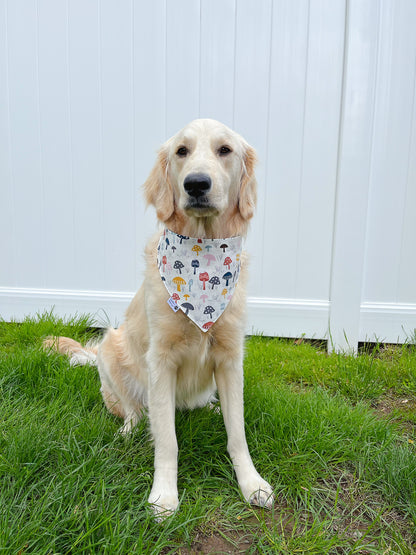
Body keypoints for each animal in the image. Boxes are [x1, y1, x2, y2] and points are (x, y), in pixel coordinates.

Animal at [46, 119, 272, 520]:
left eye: (224, 150)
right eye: (182, 151)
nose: (196, 184)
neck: (203, 249)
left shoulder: (231, 359)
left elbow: (238, 434)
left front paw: (251, 483)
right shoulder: (161, 361)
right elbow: (167, 440)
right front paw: (164, 495)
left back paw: (211, 407)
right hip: (111, 350)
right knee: (133, 410)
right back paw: (128, 430)